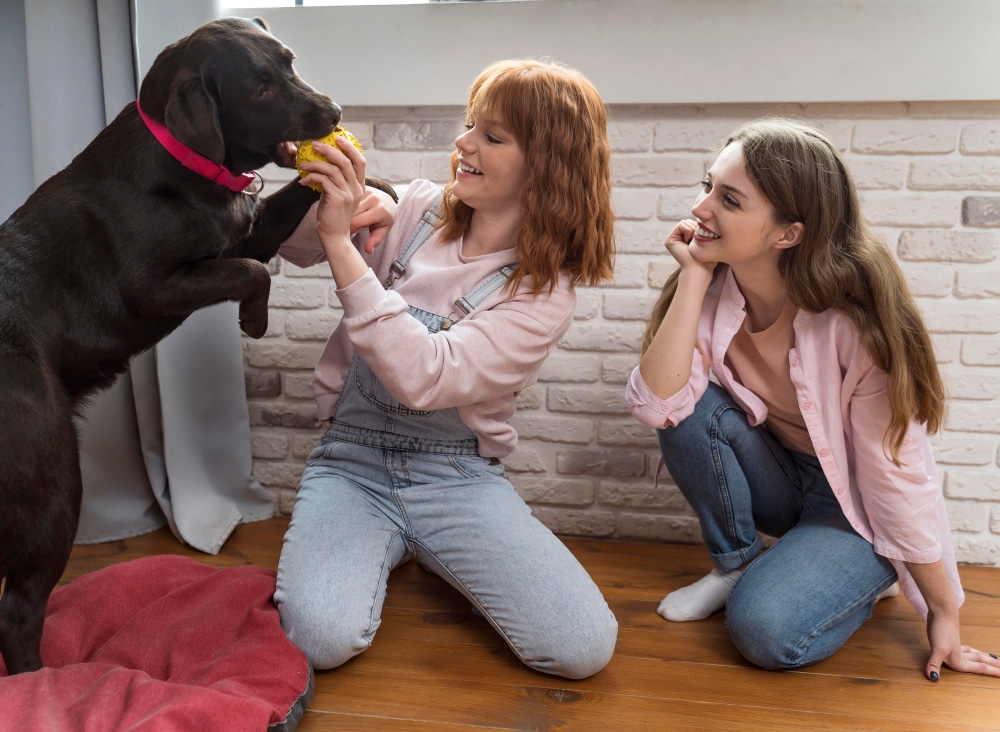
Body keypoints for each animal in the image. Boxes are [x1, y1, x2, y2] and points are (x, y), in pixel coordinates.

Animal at [0, 15, 370, 676]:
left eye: (291, 62)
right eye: (260, 89)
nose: (332, 111)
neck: (189, 164)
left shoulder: (248, 228)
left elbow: (286, 208)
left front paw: (375, 181)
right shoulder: (155, 287)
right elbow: (254, 272)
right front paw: (254, 320)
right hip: (50, 479)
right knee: (18, 609)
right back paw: (45, 682)